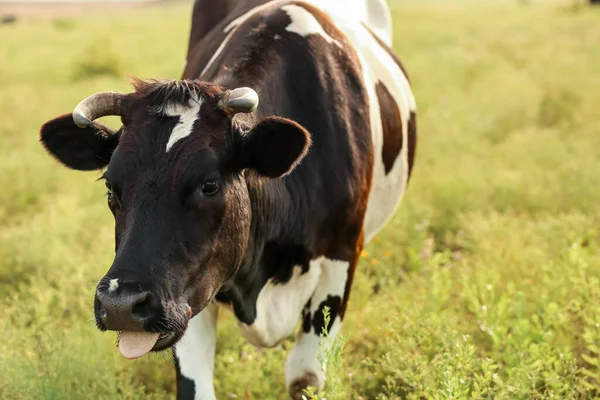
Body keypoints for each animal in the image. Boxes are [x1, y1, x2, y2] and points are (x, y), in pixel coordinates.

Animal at [36, 1, 412, 398]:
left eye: (210, 185)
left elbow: (304, 375)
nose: (120, 304)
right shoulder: (190, 295)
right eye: (111, 187)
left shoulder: (342, 256)